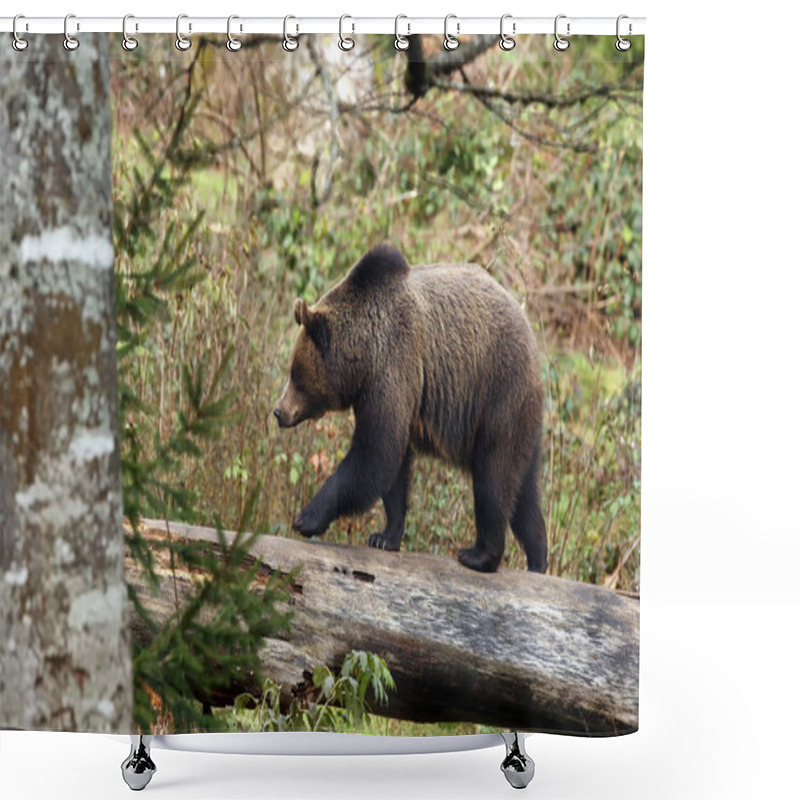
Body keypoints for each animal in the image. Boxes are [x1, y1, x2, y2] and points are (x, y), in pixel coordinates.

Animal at [272, 245, 548, 576]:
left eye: (295, 374)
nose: (278, 411)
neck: (363, 358)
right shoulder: (382, 390)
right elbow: (393, 467)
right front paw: (384, 536)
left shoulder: (393, 367)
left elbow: (376, 454)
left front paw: (307, 517)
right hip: (523, 417)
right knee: (525, 490)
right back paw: (538, 560)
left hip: (498, 393)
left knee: (493, 478)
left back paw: (478, 555)